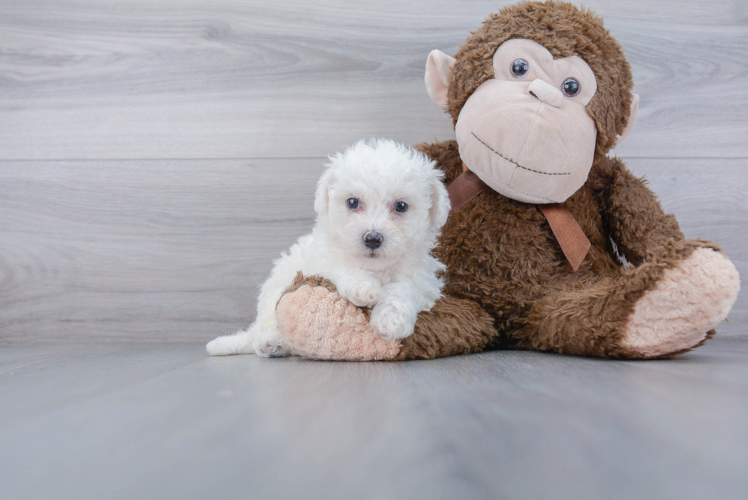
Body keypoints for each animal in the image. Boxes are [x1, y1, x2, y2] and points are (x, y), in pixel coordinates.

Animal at [205, 141, 450, 358]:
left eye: (401, 206)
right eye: (352, 202)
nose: (372, 238)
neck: (374, 268)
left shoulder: (423, 280)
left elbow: (403, 288)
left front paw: (391, 319)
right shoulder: (320, 259)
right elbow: (338, 265)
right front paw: (362, 287)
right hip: (275, 289)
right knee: (267, 324)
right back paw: (271, 342)